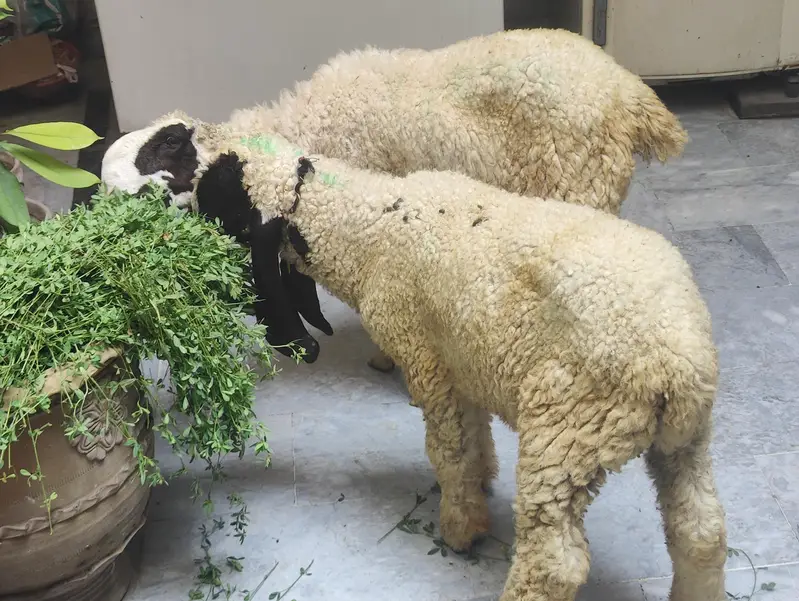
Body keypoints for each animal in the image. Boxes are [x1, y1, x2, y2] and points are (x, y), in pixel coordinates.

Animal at [113, 113, 728, 601]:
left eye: (214, 191)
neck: (371, 226)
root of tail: (680, 363)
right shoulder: (462, 360)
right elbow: (474, 438)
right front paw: (483, 485)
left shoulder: (426, 361)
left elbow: (448, 451)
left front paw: (461, 527)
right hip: (684, 443)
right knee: (701, 531)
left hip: (567, 435)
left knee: (554, 562)